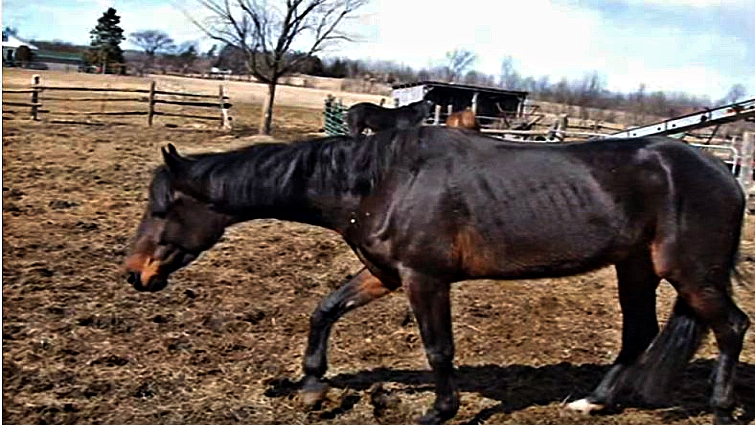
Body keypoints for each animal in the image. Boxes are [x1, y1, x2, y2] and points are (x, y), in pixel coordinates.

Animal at [123, 127, 749, 425]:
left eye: (163, 208)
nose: (134, 274)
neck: (380, 181)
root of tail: (723, 172)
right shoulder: (384, 273)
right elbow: (325, 309)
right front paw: (312, 386)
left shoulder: (424, 278)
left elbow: (438, 349)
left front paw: (438, 412)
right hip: (635, 267)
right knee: (640, 332)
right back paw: (592, 403)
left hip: (689, 271)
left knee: (732, 327)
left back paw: (721, 410)